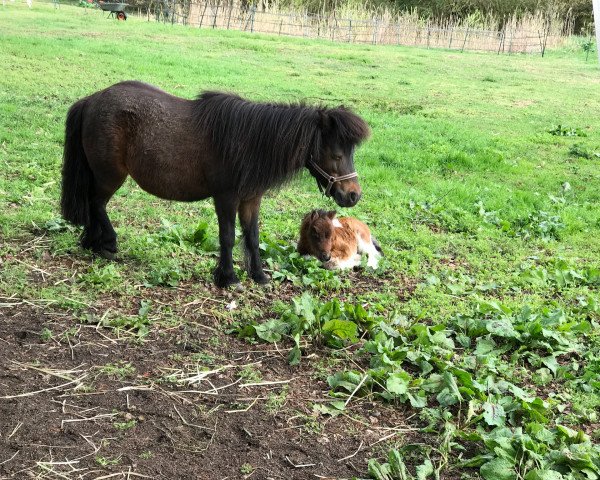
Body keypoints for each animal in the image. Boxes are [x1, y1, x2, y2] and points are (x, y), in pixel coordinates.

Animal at [62, 80, 370, 286]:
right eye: (336, 154)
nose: (353, 195)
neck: (249, 142)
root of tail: (92, 100)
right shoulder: (226, 198)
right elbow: (228, 237)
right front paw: (228, 277)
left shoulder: (251, 199)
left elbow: (252, 236)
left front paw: (259, 276)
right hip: (109, 176)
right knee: (96, 204)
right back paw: (107, 243)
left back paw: (92, 242)